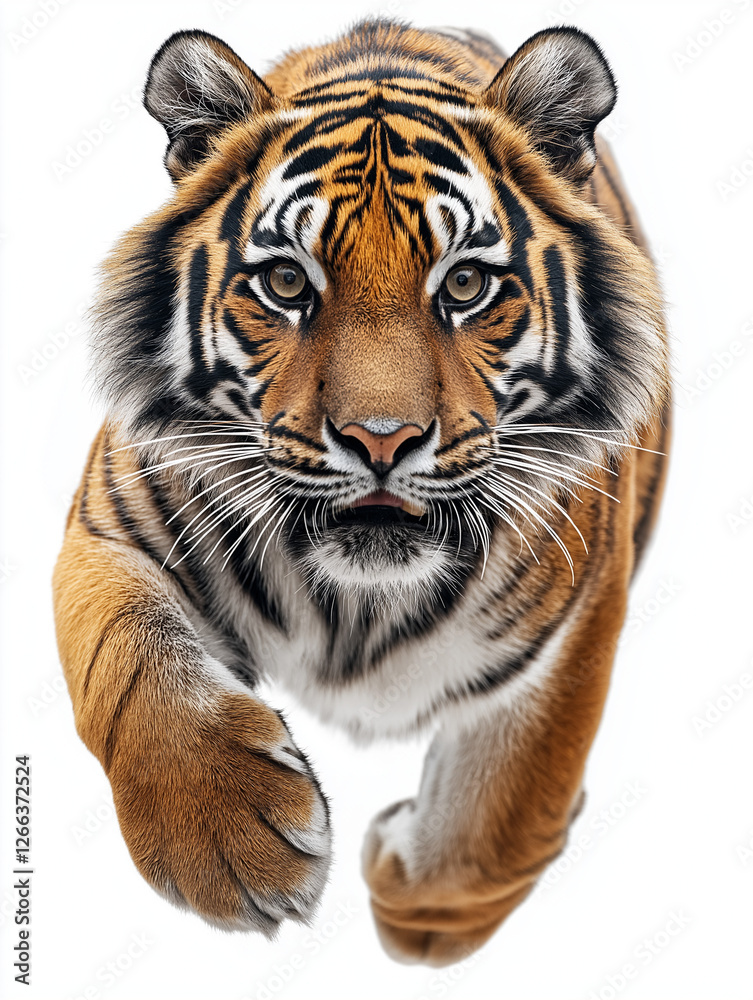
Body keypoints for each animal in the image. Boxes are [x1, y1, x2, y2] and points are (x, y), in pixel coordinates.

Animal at [53, 20, 670, 966]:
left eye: (464, 284)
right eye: (286, 283)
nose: (381, 439)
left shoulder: (570, 624)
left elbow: (494, 821)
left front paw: (407, 893)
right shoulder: (110, 523)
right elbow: (126, 659)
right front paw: (228, 844)